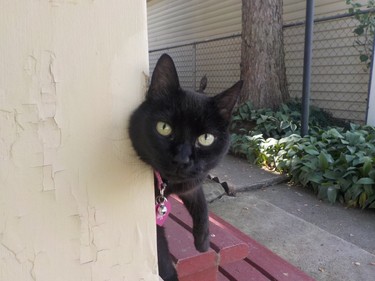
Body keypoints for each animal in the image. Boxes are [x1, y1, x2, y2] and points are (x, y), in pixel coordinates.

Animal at [128, 53, 242, 278]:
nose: (182, 159)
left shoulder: (191, 182)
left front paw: (203, 242)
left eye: (206, 138)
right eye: (164, 127)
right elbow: (161, 255)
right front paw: (169, 274)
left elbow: (201, 204)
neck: (169, 184)